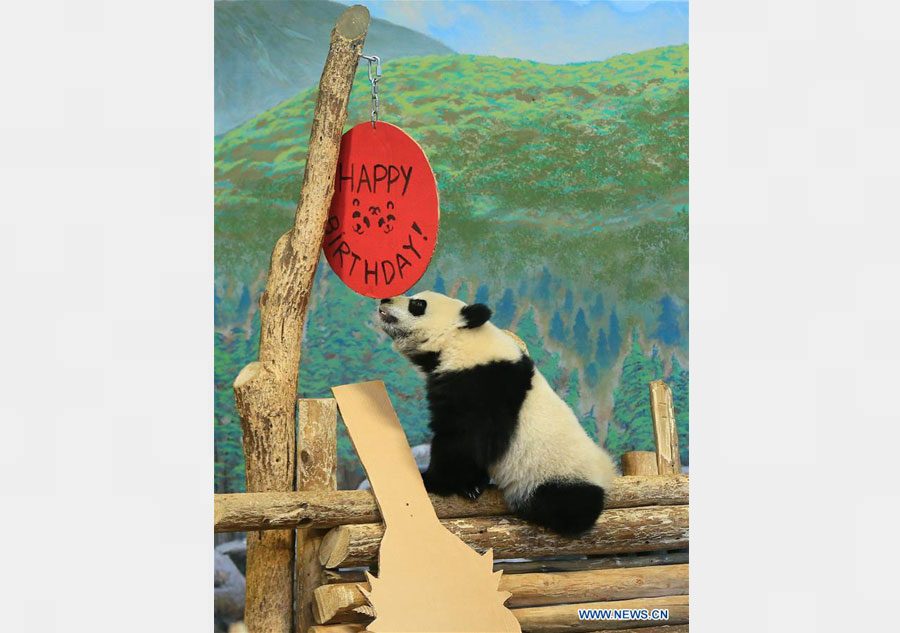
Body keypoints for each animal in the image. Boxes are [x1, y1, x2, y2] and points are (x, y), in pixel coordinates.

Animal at [377, 290, 618, 536]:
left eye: (417, 304)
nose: (384, 299)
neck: (462, 342)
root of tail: (607, 474)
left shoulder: (482, 386)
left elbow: (464, 440)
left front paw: (433, 481)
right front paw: (473, 484)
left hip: (559, 475)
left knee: (568, 506)